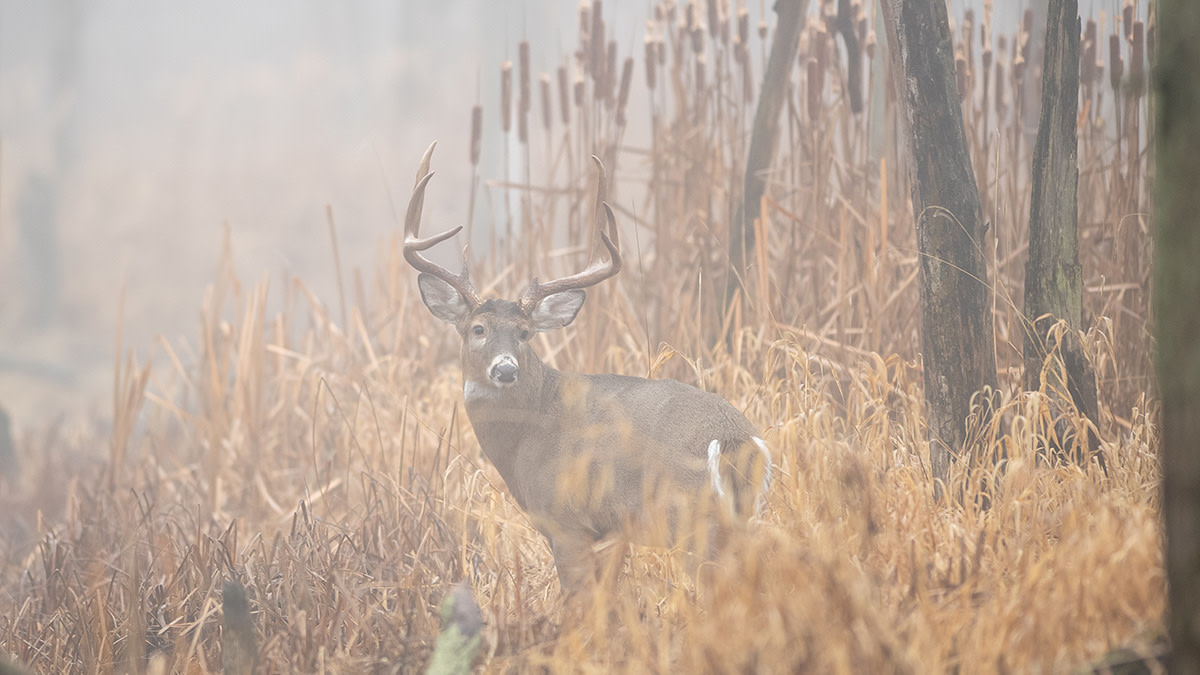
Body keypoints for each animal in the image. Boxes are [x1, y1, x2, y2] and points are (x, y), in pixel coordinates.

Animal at [408, 144, 772, 586]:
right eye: (478, 329)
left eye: (525, 332)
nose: (505, 369)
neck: (527, 433)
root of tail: (736, 439)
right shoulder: (611, 532)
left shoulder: (564, 519)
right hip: (743, 515)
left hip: (688, 518)